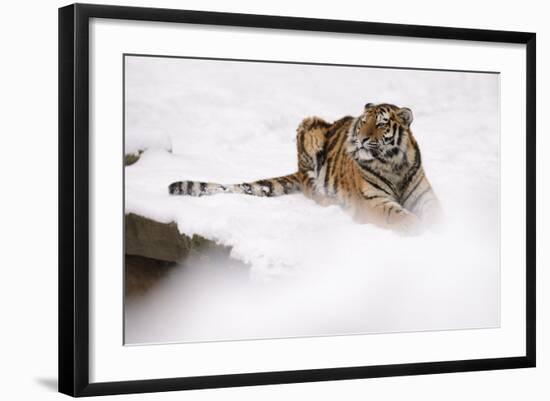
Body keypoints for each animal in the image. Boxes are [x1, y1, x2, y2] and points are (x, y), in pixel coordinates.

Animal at [168, 103, 444, 233]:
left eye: (381, 124)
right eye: (362, 123)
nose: (362, 139)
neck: (394, 165)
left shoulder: (424, 196)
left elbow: (437, 215)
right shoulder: (373, 201)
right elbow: (401, 216)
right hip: (309, 128)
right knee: (312, 188)